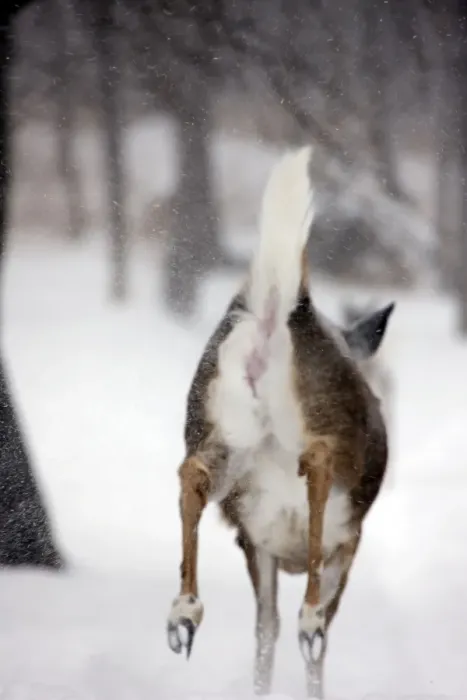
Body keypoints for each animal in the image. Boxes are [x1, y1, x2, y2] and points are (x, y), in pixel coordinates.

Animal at [166, 146, 393, 699]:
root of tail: (280, 311)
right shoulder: (345, 544)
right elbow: (309, 639)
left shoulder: (255, 542)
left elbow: (263, 630)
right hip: (329, 448)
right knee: (318, 461)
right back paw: (305, 615)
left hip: (217, 426)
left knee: (192, 471)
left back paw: (184, 612)